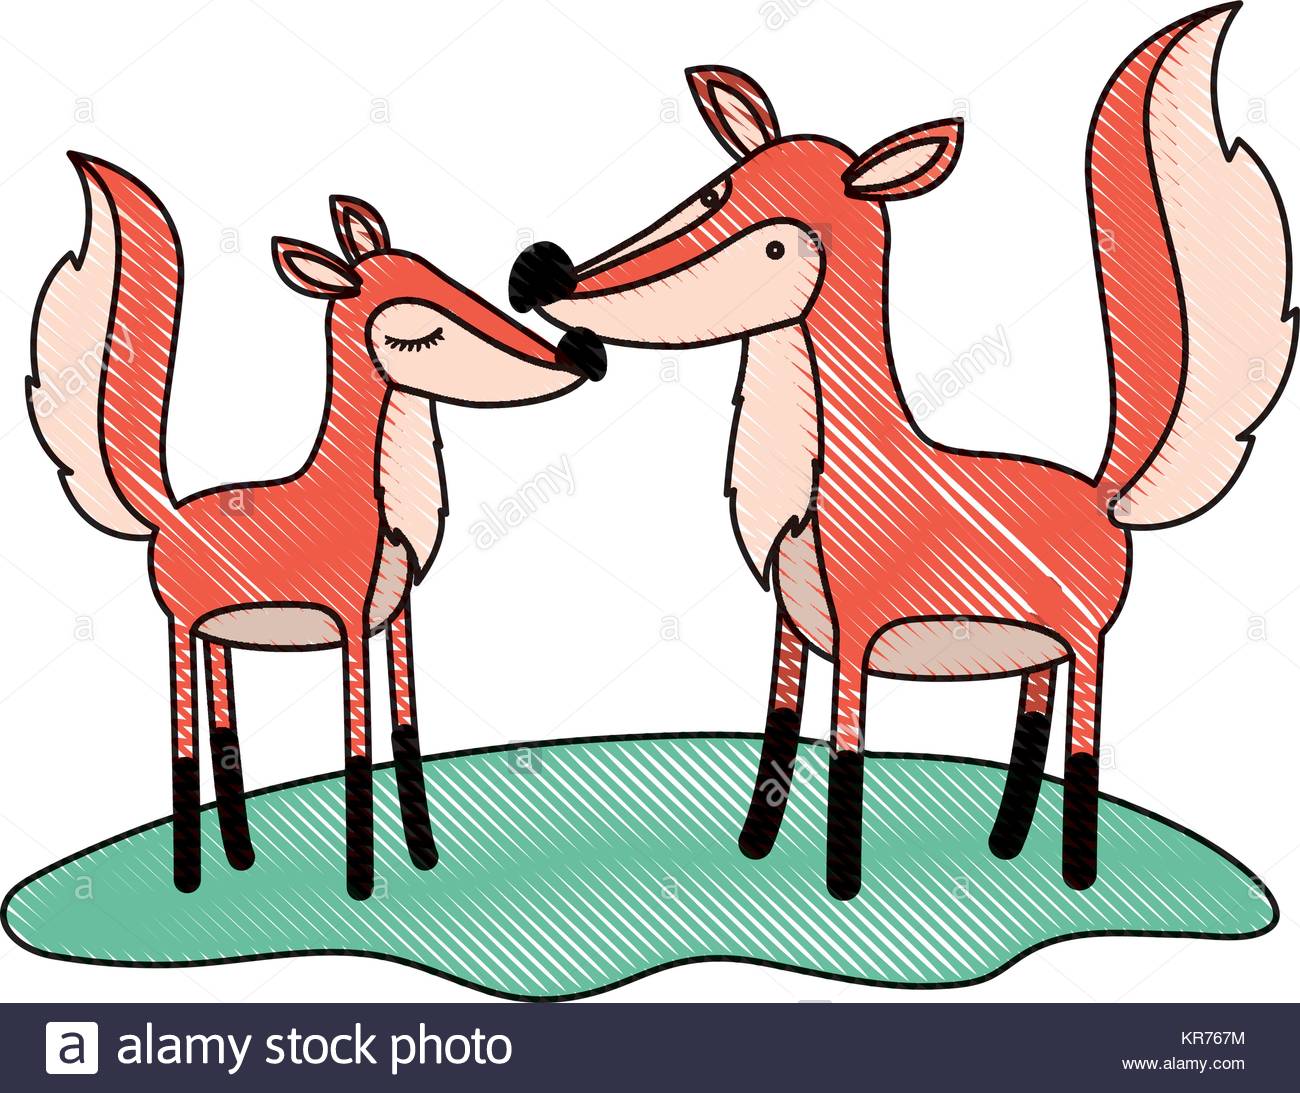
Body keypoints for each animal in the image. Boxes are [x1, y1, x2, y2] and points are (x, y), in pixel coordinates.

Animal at [28, 154, 605, 899]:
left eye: (452, 282)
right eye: (420, 333)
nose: (583, 353)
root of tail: (166, 512)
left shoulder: (396, 618)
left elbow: (406, 736)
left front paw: (424, 861)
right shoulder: (348, 622)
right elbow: (357, 749)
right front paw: (361, 887)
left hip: (220, 636)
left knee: (225, 734)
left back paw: (240, 861)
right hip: (182, 628)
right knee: (185, 745)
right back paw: (189, 878)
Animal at [509, 4, 1295, 897]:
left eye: (776, 247)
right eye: (716, 190)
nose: (543, 274)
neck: (822, 481)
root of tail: (1104, 494)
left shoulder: (857, 633)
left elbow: (847, 756)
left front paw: (841, 889)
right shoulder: (792, 625)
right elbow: (779, 734)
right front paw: (753, 853)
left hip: (1088, 643)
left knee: (1083, 743)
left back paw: (1076, 875)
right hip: (1041, 651)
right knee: (1033, 721)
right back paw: (1006, 846)